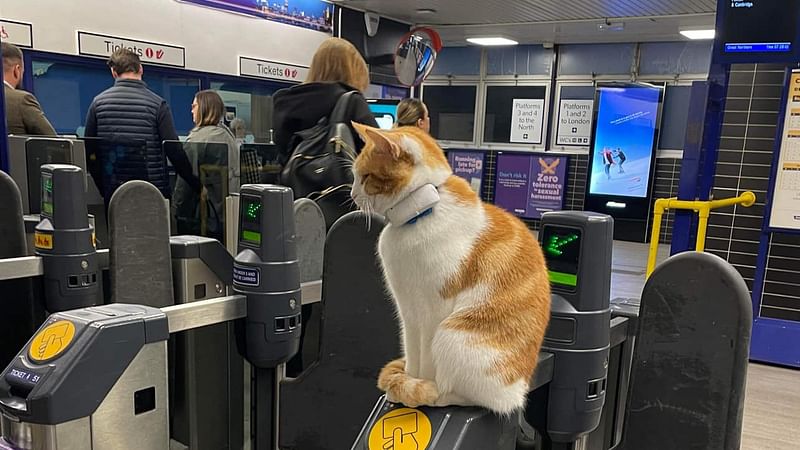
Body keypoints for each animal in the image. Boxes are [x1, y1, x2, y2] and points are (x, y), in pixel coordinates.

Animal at [354, 123, 552, 414]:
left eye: (366, 177)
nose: (352, 194)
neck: (421, 213)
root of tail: (519, 391)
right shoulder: (408, 313)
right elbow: (413, 354)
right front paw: (407, 380)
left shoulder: (431, 312)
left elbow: (426, 362)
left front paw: (416, 387)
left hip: (453, 334)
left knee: (476, 399)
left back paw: (435, 393)